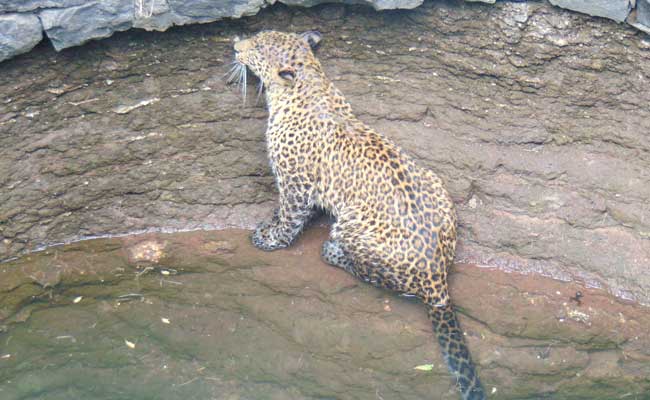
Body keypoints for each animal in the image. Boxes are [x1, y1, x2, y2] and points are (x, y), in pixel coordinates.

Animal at [231, 30, 486, 400]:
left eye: (259, 48)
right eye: (257, 37)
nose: (235, 46)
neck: (310, 83)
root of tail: (437, 280)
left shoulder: (295, 182)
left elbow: (289, 217)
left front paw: (269, 237)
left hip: (353, 227)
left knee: (367, 270)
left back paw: (333, 251)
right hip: (437, 186)